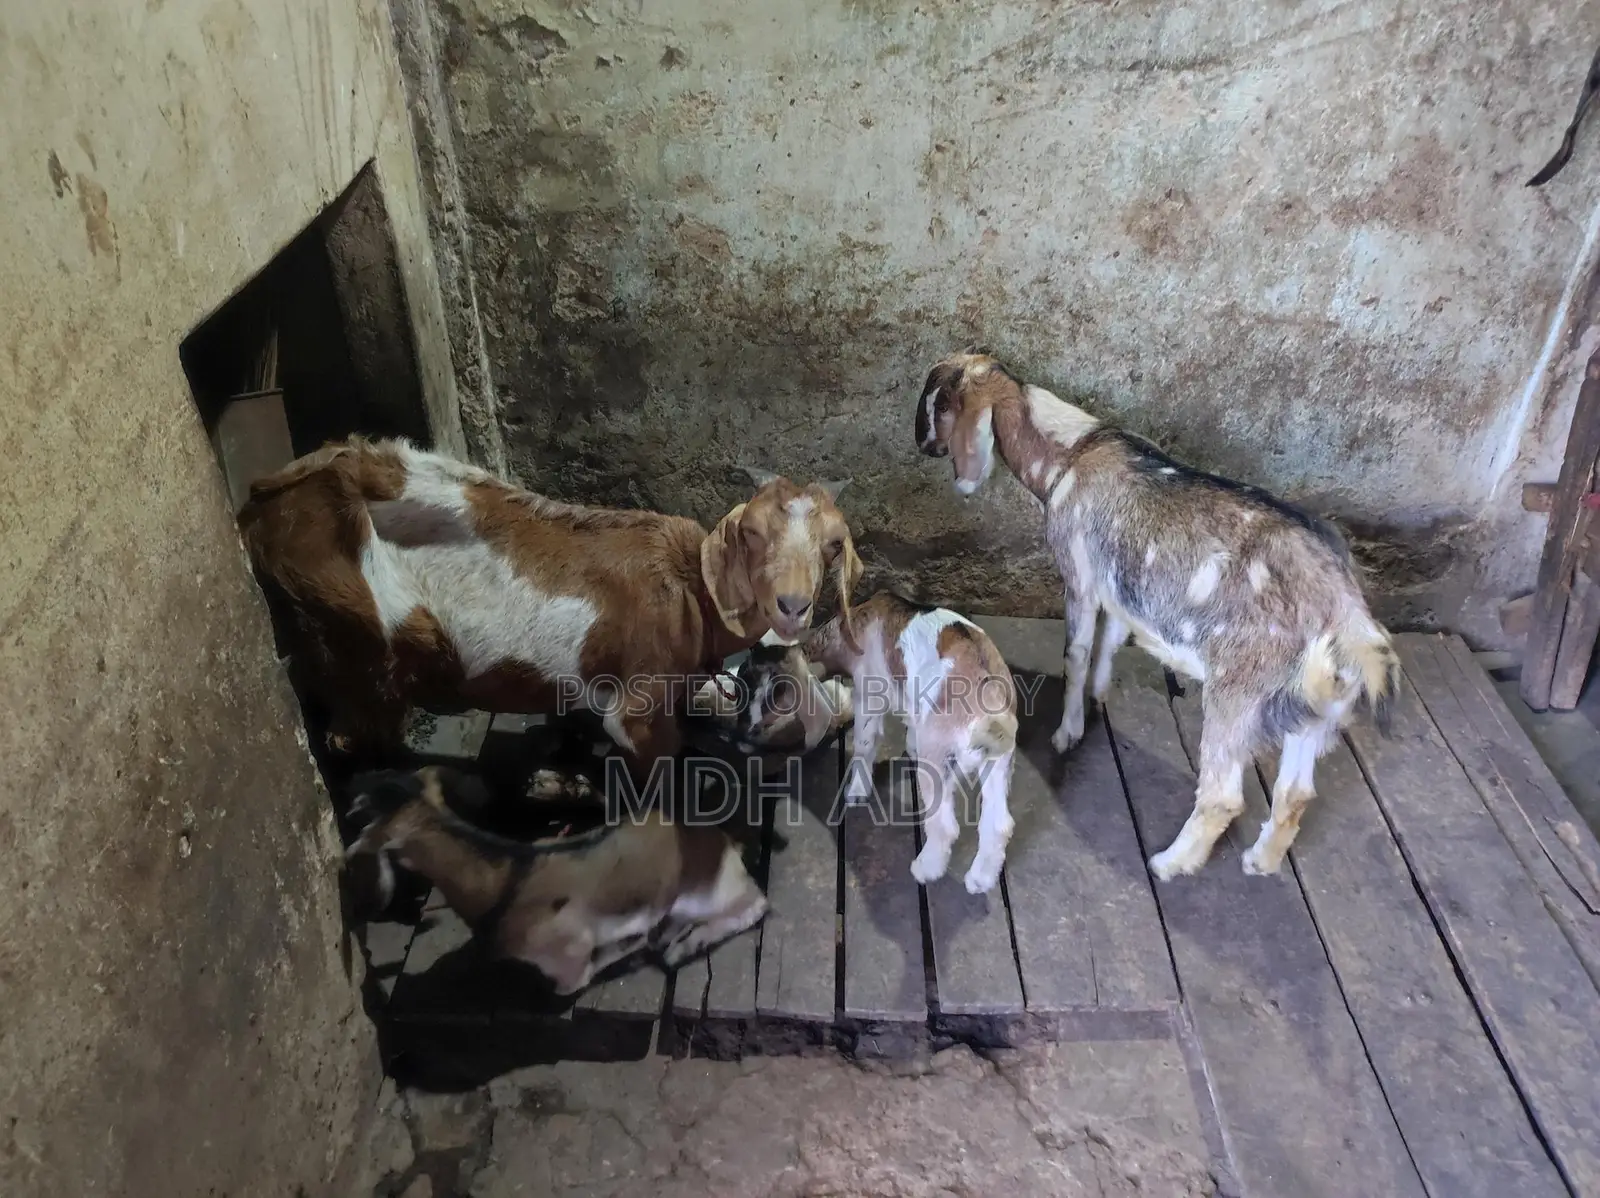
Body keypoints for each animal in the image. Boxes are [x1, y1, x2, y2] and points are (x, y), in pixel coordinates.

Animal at [236, 439, 863, 783]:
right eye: (751, 532)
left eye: (833, 544)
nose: (792, 605)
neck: (690, 594)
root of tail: (261, 504)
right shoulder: (638, 705)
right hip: (348, 639)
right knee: (351, 734)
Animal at [344, 765, 769, 994]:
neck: (509, 878)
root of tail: (720, 838)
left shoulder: (570, 962)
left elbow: (578, 978)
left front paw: (641, 942)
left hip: (709, 895)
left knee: (756, 904)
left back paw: (682, 946)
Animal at [749, 592, 1019, 894]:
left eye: (772, 692)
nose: (753, 728)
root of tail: (990, 709)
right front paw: (910, 747)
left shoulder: (868, 696)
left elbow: (865, 743)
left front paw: (856, 791)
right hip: (999, 761)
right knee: (998, 824)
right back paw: (980, 879)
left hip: (937, 759)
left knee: (944, 825)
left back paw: (925, 869)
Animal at [914, 349, 1400, 882]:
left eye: (941, 403)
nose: (922, 444)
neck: (1071, 455)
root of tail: (1349, 618)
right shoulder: (1123, 592)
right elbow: (1111, 641)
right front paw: (1099, 697)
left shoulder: (1081, 575)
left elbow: (1076, 652)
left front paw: (1067, 733)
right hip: (1313, 712)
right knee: (1295, 793)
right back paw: (1260, 861)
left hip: (1239, 692)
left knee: (1222, 795)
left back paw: (1168, 863)